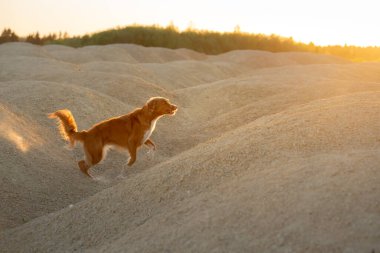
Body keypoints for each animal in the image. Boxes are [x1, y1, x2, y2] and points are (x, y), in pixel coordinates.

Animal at [48, 97, 177, 178]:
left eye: (168, 101)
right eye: (165, 102)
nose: (176, 106)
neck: (149, 117)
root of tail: (86, 133)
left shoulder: (143, 139)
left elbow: (153, 146)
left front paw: (150, 156)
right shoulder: (132, 142)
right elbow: (132, 159)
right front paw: (122, 173)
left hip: (96, 155)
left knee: (81, 163)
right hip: (97, 155)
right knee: (82, 164)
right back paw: (92, 178)